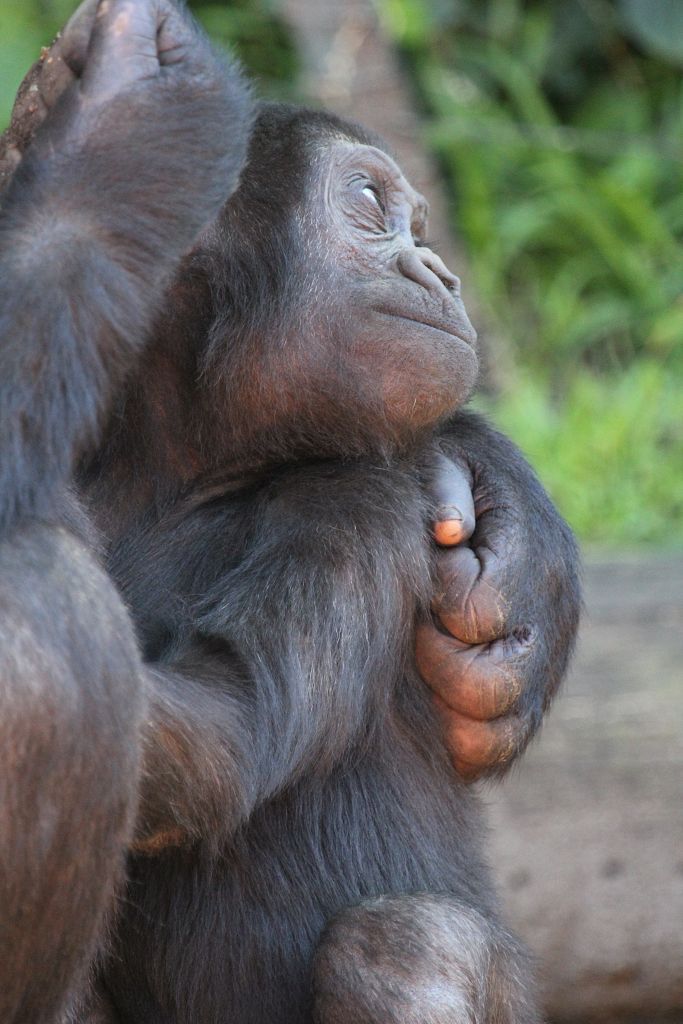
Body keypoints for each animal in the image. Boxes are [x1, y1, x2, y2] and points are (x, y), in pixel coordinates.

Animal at [97, 105, 544, 1024]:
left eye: (418, 224)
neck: (174, 469)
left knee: (402, 948)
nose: (437, 269)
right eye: (369, 202)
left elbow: (234, 713)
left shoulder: (353, 502)